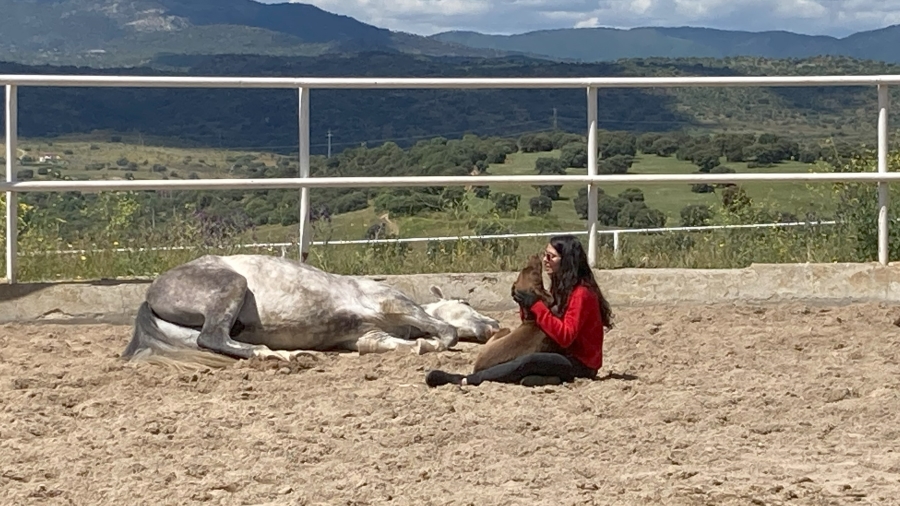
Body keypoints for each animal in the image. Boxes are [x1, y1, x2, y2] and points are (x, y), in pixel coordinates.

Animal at [120, 254, 501, 368]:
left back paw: (287, 355)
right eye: (466, 304)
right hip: (232, 286)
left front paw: (420, 345)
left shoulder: (369, 337)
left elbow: (395, 344)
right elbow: (446, 331)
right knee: (212, 337)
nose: (495, 325)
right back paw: (278, 355)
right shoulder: (392, 302)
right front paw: (434, 342)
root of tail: (150, 295)